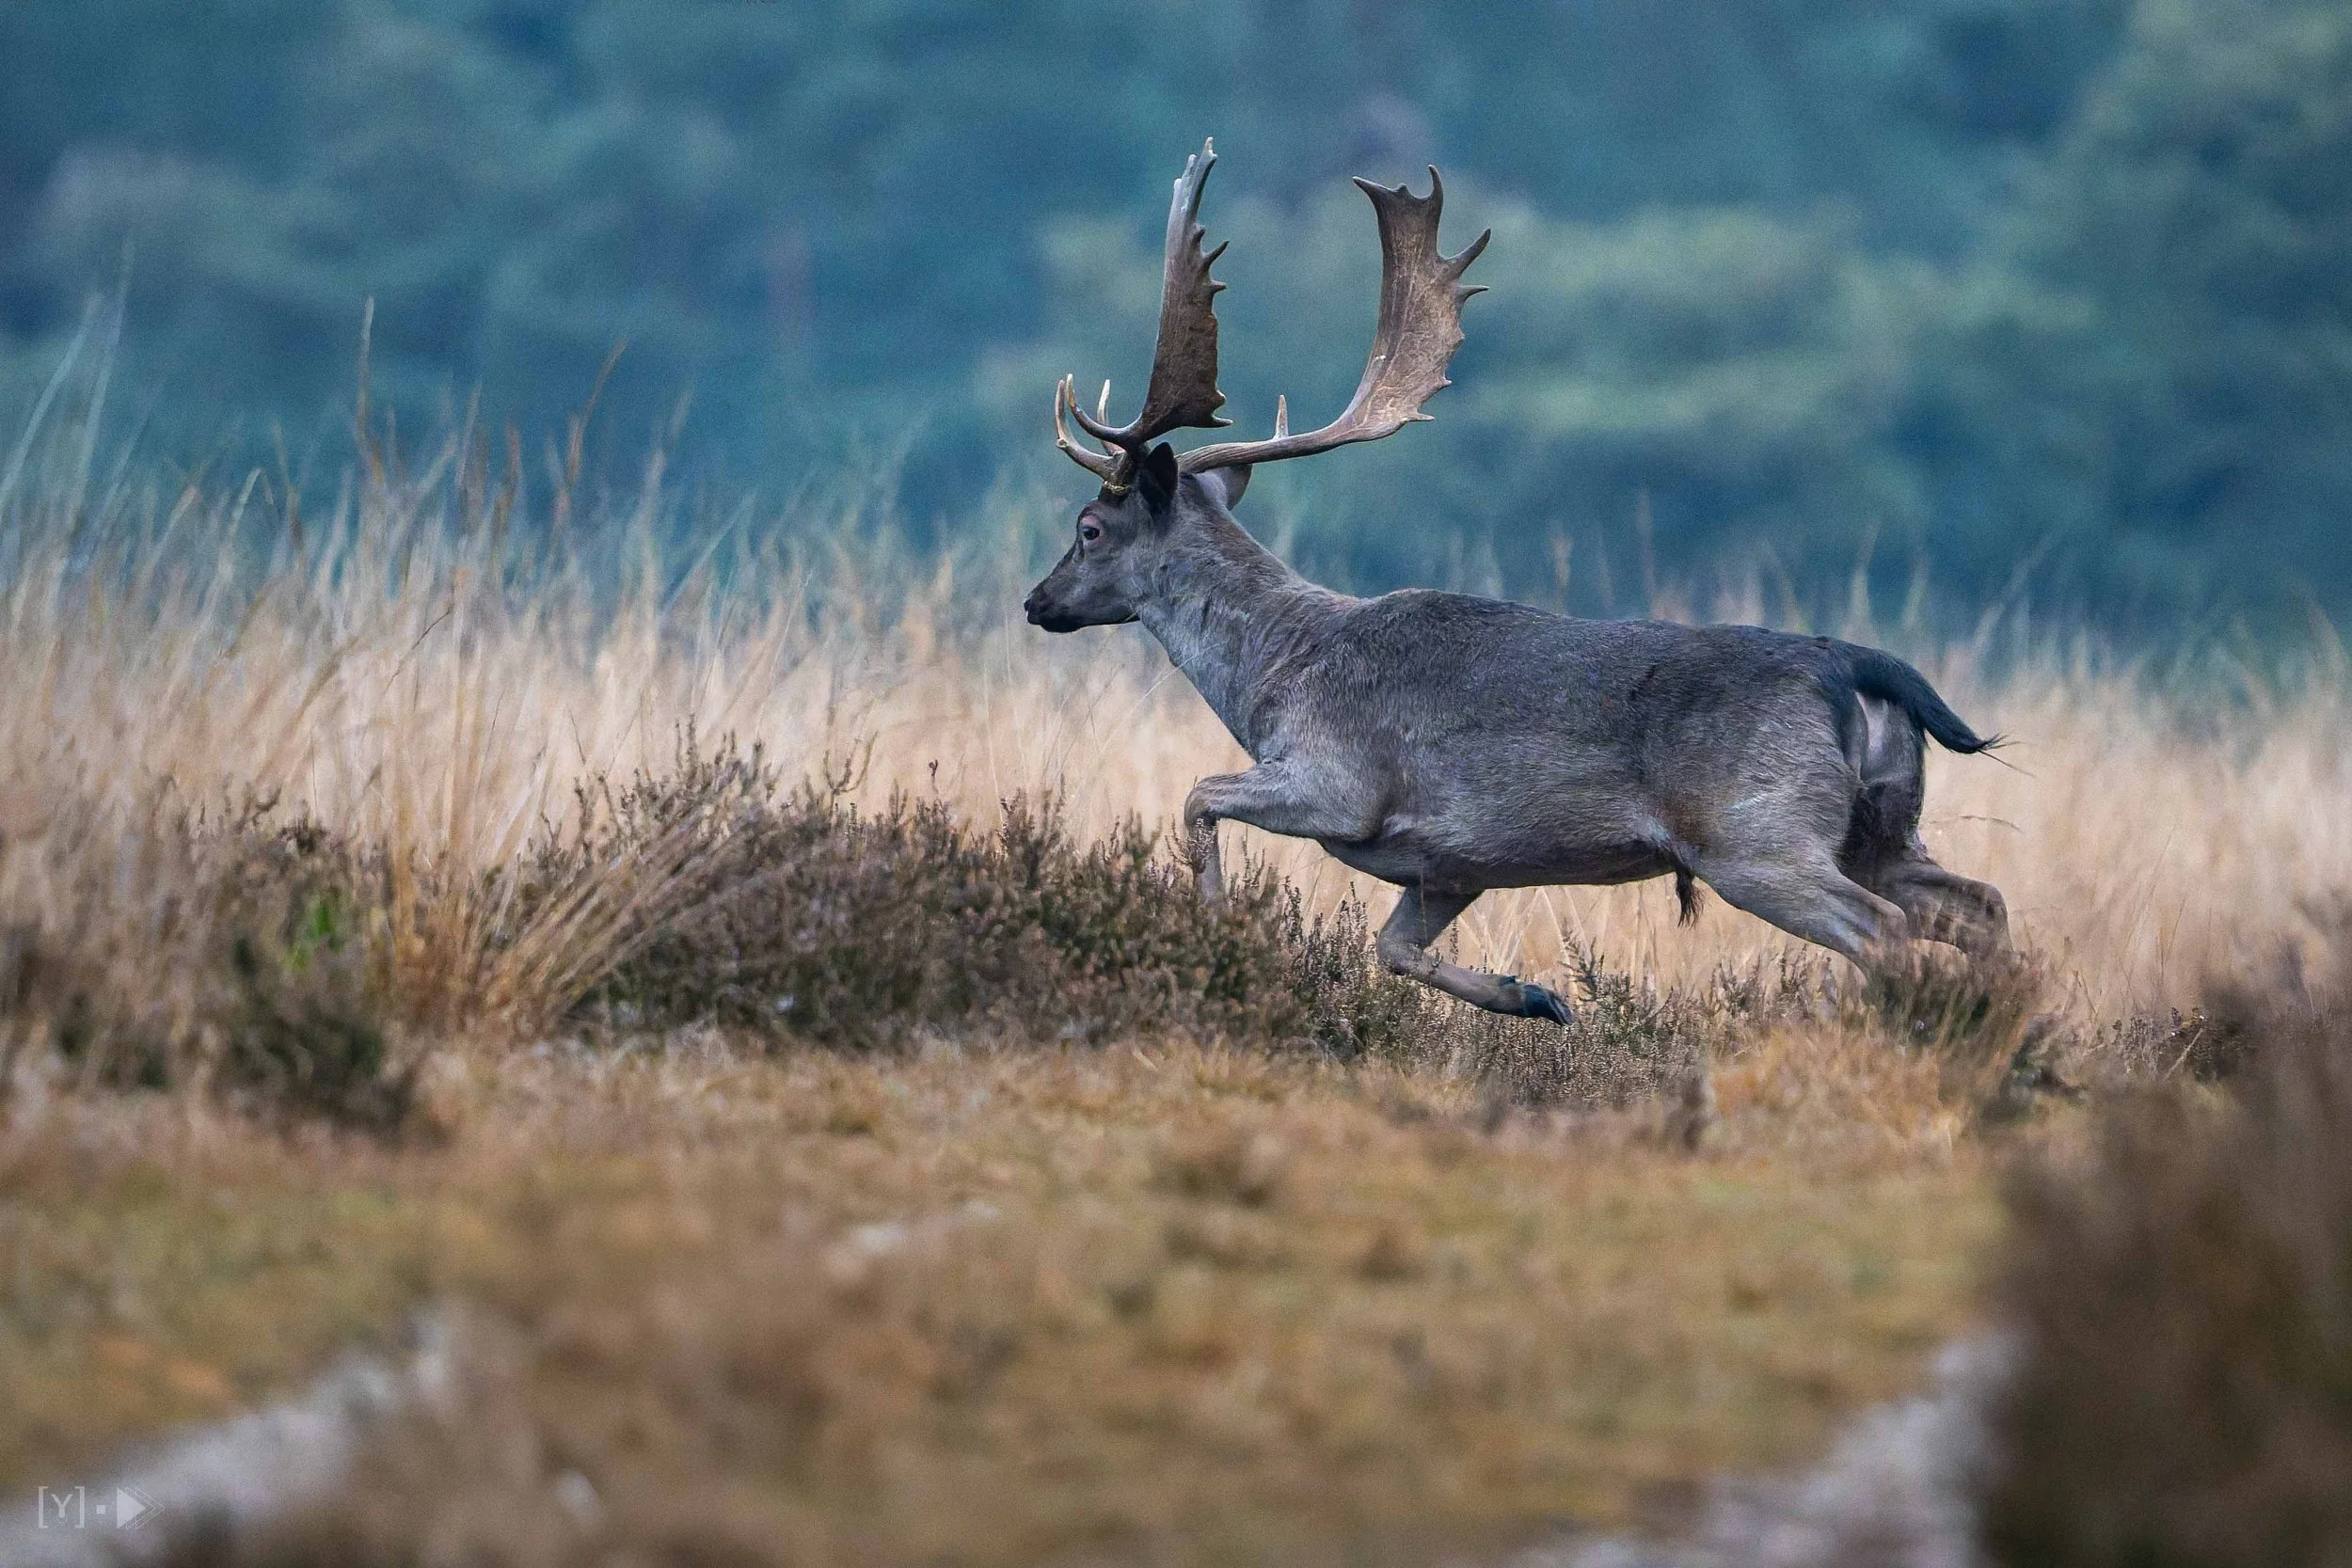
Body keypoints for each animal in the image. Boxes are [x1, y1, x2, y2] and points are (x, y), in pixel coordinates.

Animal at [1023, 141, 2011, 1026]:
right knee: (1983, 904)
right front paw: (1536, 997)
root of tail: (1862, 672)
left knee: (1888, 932)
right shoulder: (1450, 860)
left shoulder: (1338, 779)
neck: (1272, 676)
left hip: (1757, 836)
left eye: (1088, 529)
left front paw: (1218, 927)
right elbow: (1392, 947)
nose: (1036, 602)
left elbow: (1197, 796)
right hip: (1881, 826)